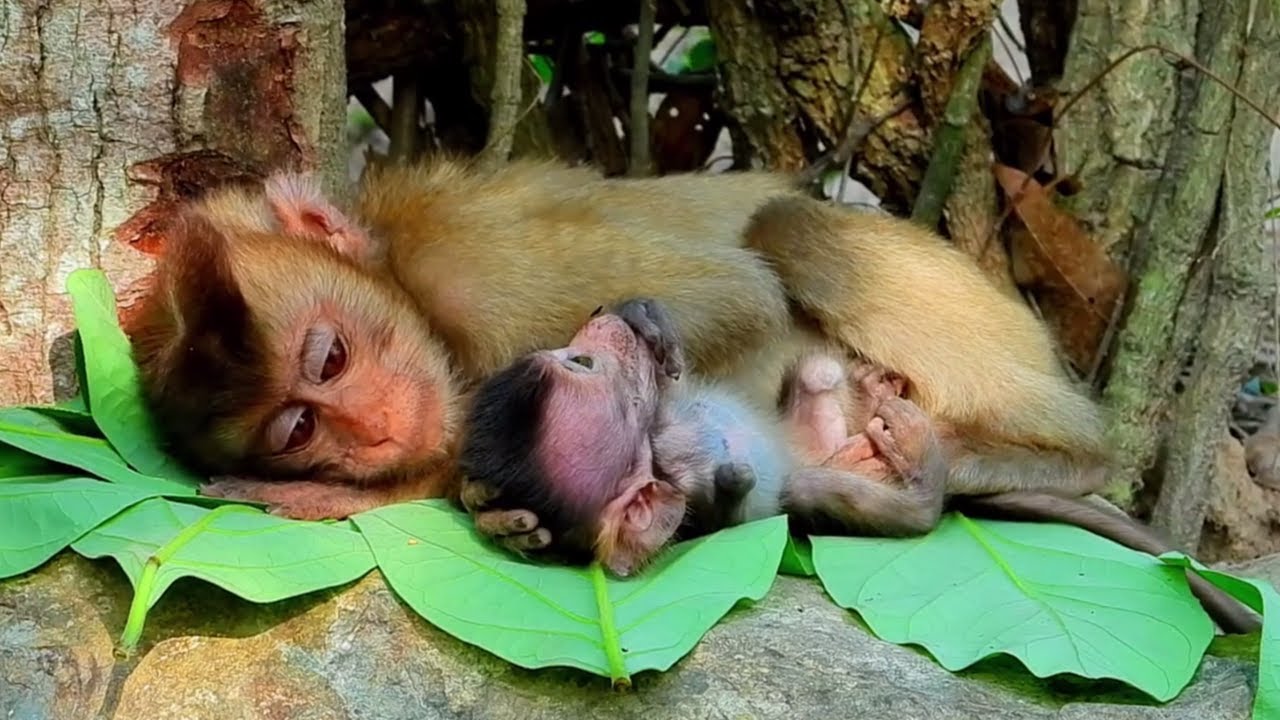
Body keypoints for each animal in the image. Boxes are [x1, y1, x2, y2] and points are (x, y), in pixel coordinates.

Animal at [458, 298, 1263, 634]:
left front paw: (650, 320)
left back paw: (875, 398)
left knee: (816, 373)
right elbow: (729, 499)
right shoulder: (682, 490)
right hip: (832, 483)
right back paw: (916, 465)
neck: (655, 441)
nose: (599, 318)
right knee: (892, 508)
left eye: (570, 356)